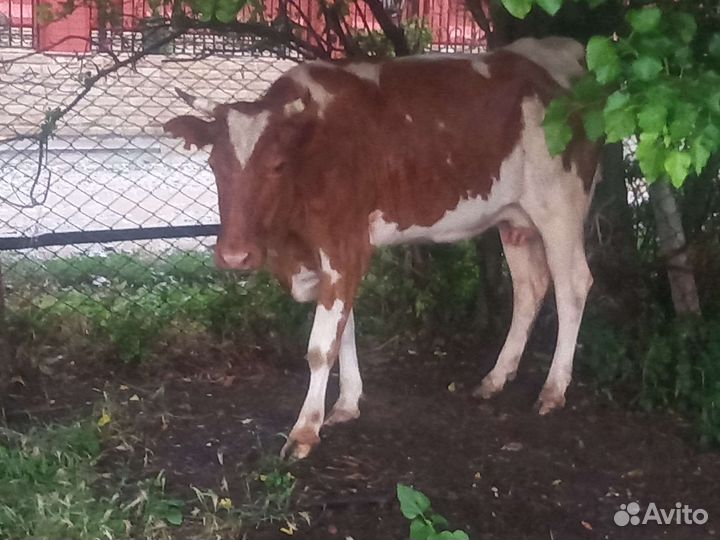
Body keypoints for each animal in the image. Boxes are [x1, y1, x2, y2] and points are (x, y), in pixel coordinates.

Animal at [164, 36, 600, 459]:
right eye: (214, 165)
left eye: (277, 165)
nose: (234, 255)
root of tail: (557, 48)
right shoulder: (333, 255)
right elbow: (345, 330)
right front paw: (346, 405)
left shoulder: (344, 245)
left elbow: (322, 346)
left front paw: (304, 432)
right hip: (514, 219)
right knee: (529, 288)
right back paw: (495, 377)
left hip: (559, 207)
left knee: (573, 286)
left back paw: (553, 389)